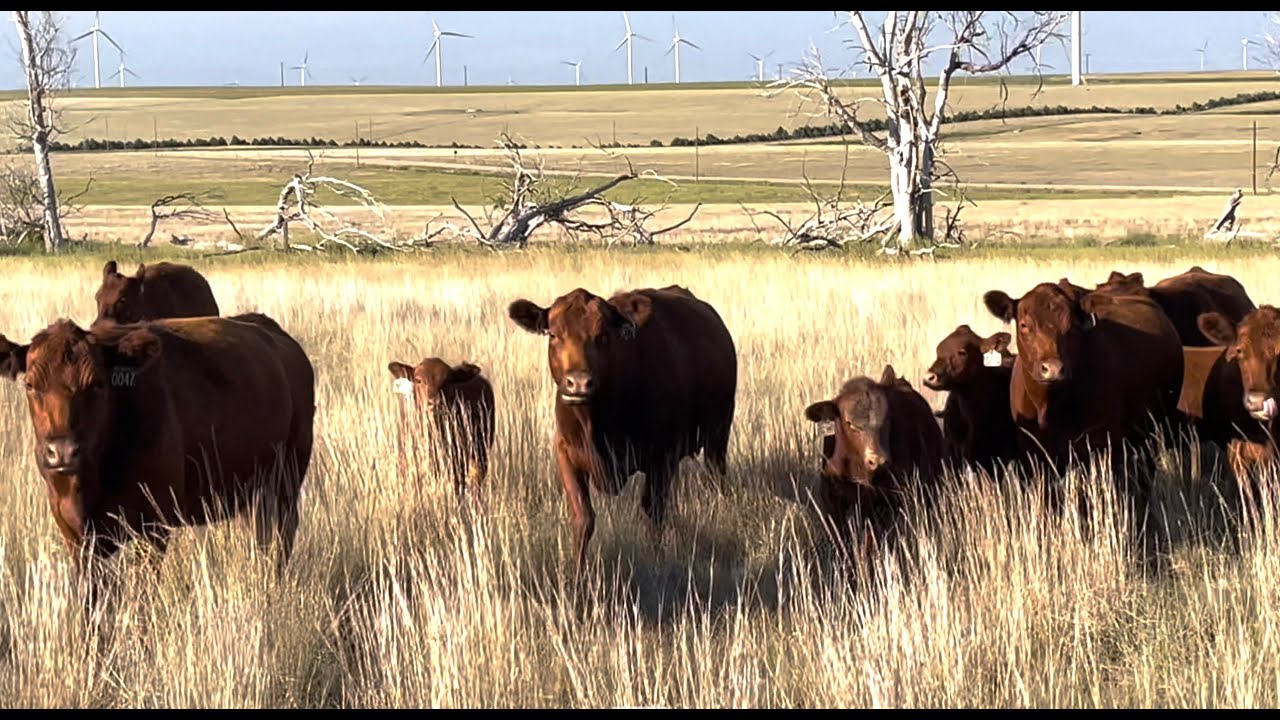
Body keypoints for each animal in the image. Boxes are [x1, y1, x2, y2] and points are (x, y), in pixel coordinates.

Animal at [0, 313, 315, 579]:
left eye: (98, 384)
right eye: (30, 385)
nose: (63, 452)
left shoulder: (152, 528)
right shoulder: (75, 537)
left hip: (286, 482)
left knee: (280, 540)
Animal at [507, 285, 738, 587]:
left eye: (602, 336)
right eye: (554, 335)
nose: (578, 383)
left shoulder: (662, 456)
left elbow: (653, 513)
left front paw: (657, 564)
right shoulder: (565, 454)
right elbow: (583, 518)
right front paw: (577, 575)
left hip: (717, 436)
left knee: (714, 476)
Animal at [805, 364, 945, 567]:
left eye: (888, 418)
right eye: (850, 423)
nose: (878, 460)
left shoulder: (883, 504)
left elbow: (870, 546)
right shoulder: (831, 503)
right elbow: (841, 545)